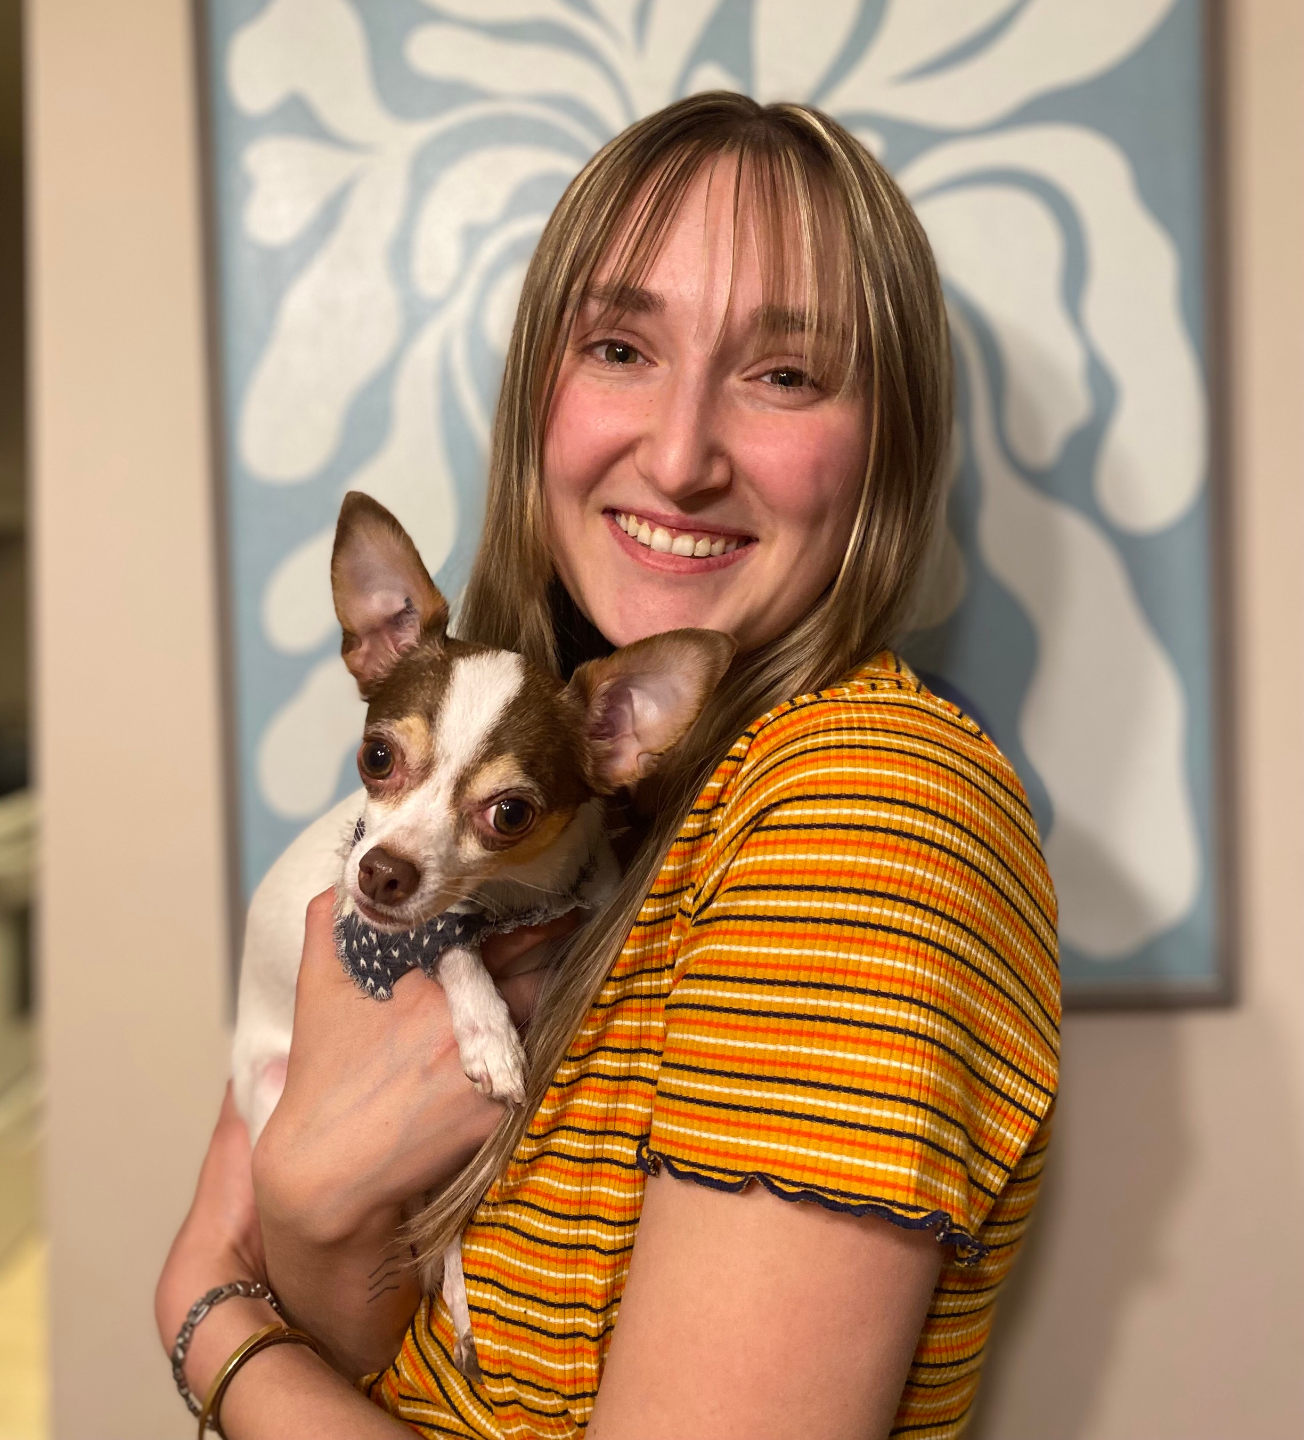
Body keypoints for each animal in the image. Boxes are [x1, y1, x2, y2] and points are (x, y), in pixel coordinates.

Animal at [232, 491, 733, 1371]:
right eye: (377, 756)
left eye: (511, 814)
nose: (381, 871)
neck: (511, 898)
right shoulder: (372, 932)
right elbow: (451, 945)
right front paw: (491, 1036)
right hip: (264, 1091)